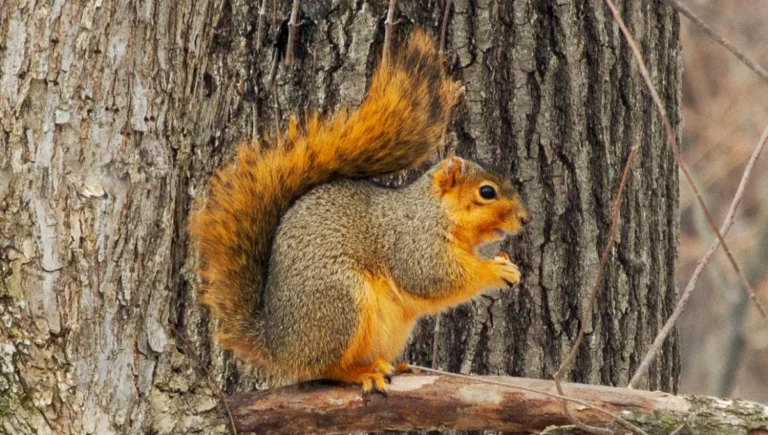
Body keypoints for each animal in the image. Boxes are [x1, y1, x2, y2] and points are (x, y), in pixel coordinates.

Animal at [189, 30, 532, 396]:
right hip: (340, 301)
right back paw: (361, 372)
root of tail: (278, 346)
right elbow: (433, 277)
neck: (435, 211)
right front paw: (495, 270)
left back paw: (397, 365)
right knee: (323, 368)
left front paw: (508, 265)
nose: (526, 220)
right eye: (487, 192)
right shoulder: (413, 242)